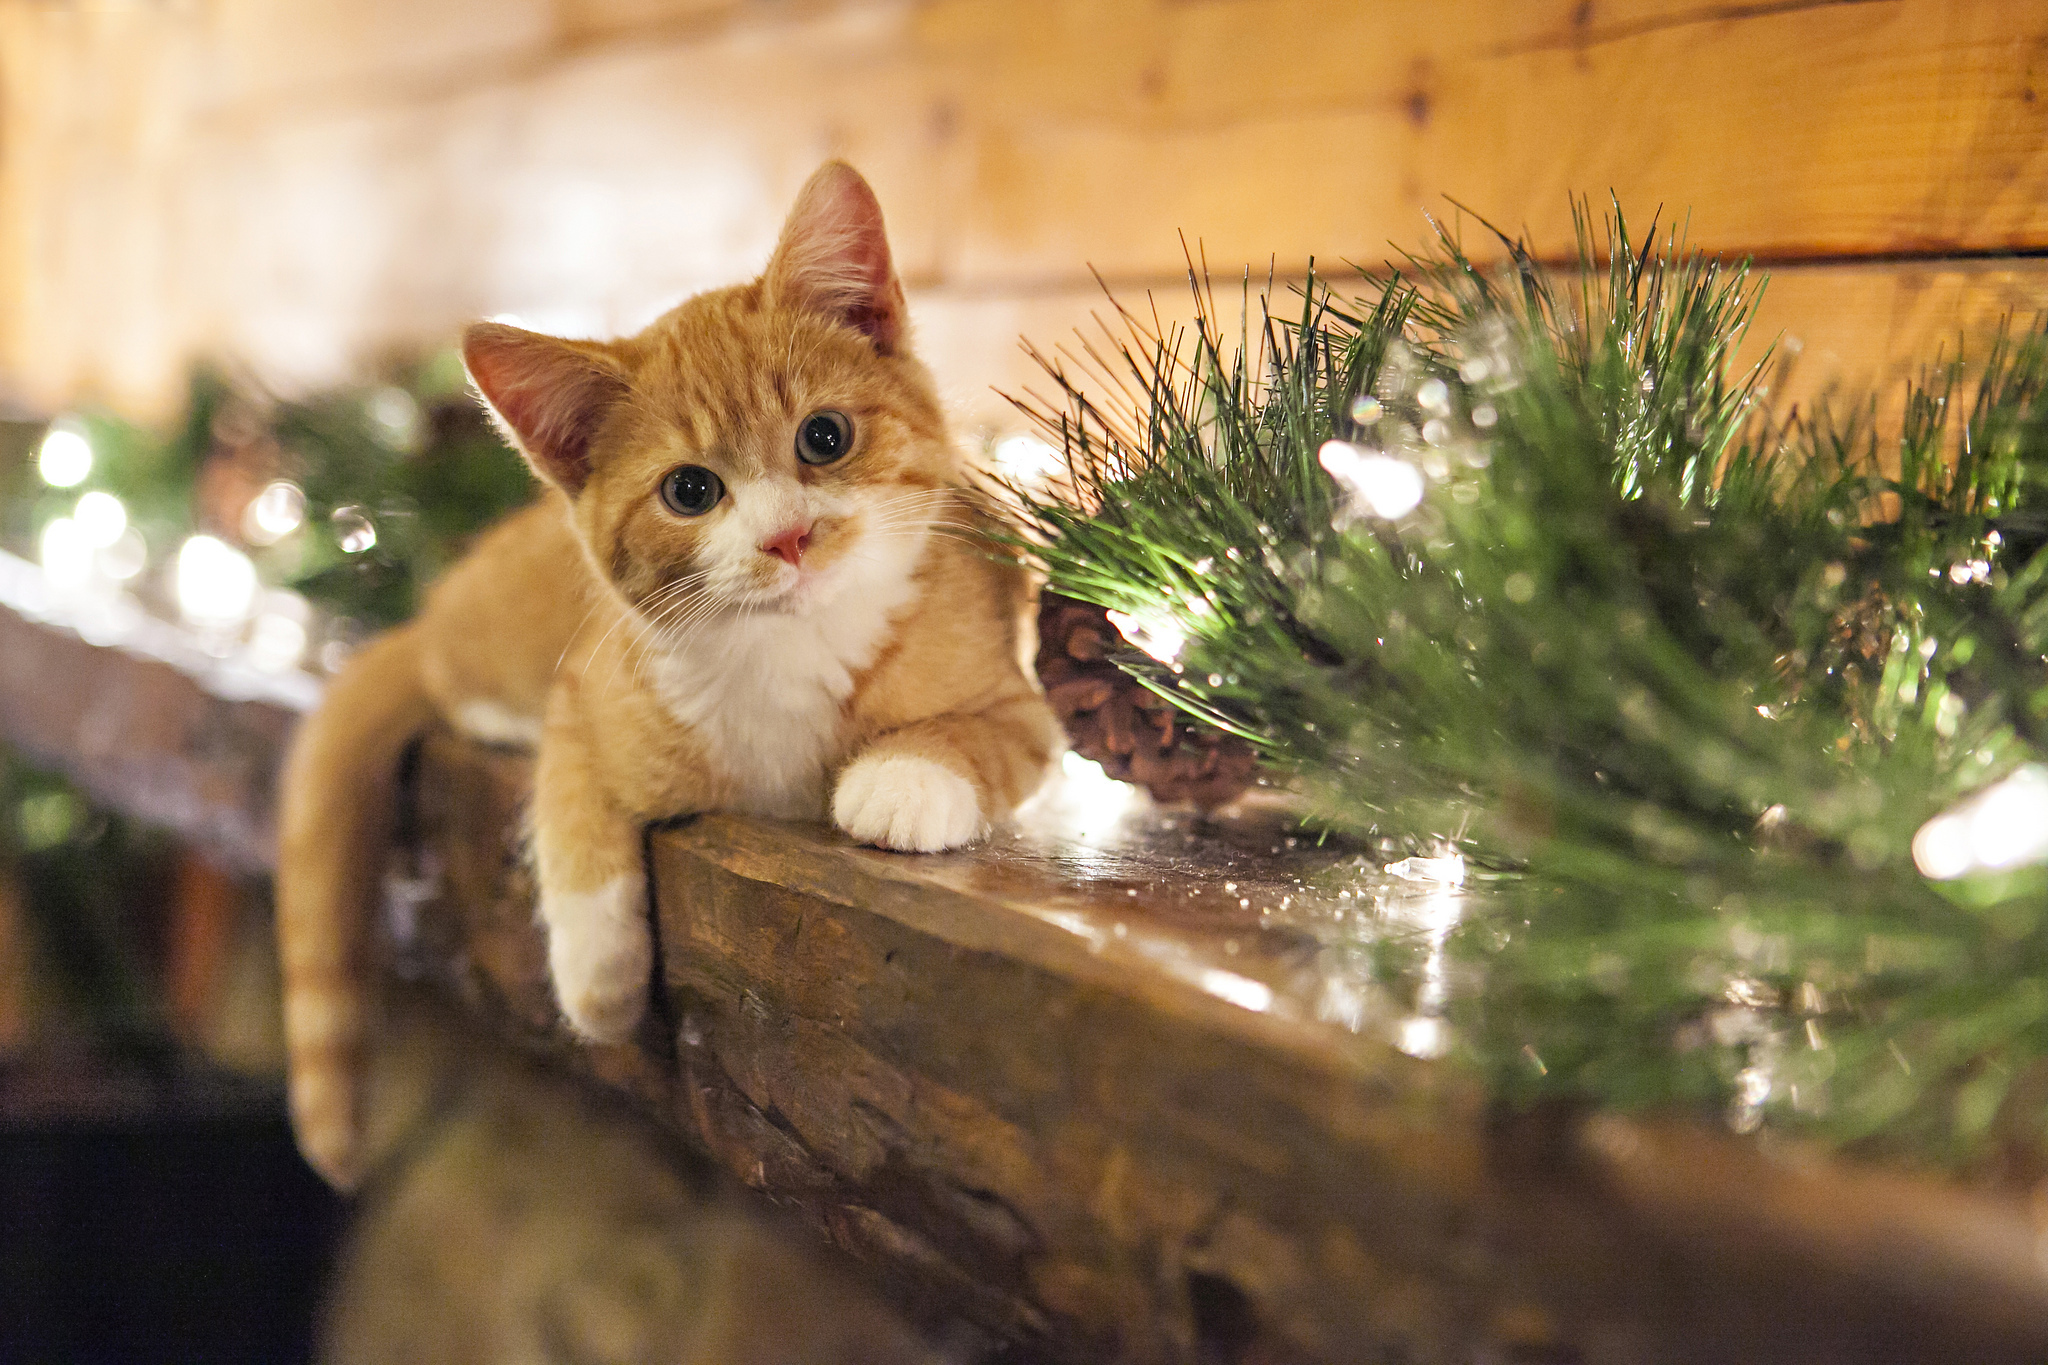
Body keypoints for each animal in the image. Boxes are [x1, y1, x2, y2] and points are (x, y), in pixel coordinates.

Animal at [276, 157, 1056, 1186]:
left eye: (825, 437)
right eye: (691, 490)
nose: (788, 538)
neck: (791, 651)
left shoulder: (1023, 694)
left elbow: (987, 733)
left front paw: (906, 777)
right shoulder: (588, 691)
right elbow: (571, 805)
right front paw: (599, 973)